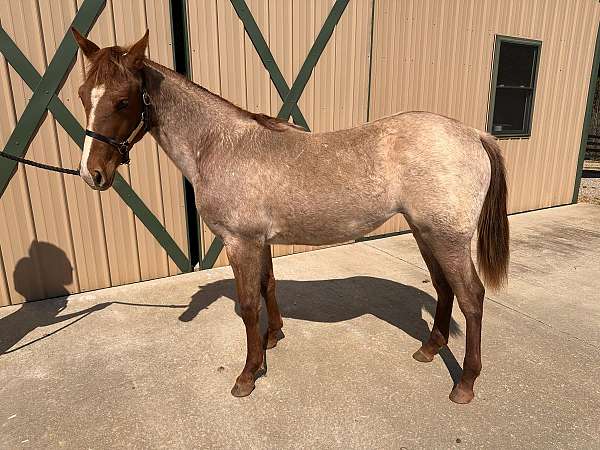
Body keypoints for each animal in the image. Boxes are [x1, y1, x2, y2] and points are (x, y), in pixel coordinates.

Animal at [72, 29, 508, 404]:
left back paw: (465, 384)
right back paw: (429, 349)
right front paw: (273, 339)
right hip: (425, 232)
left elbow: (249, 304)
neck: (219, 145)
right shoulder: (259, 241)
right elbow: (268, 287)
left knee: (471, 297)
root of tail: (473, 133)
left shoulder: (240, 242)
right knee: (444, 288)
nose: (92, 174)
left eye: (123, 100)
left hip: (447, 238)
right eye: (81, 95)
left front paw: (248, 375)